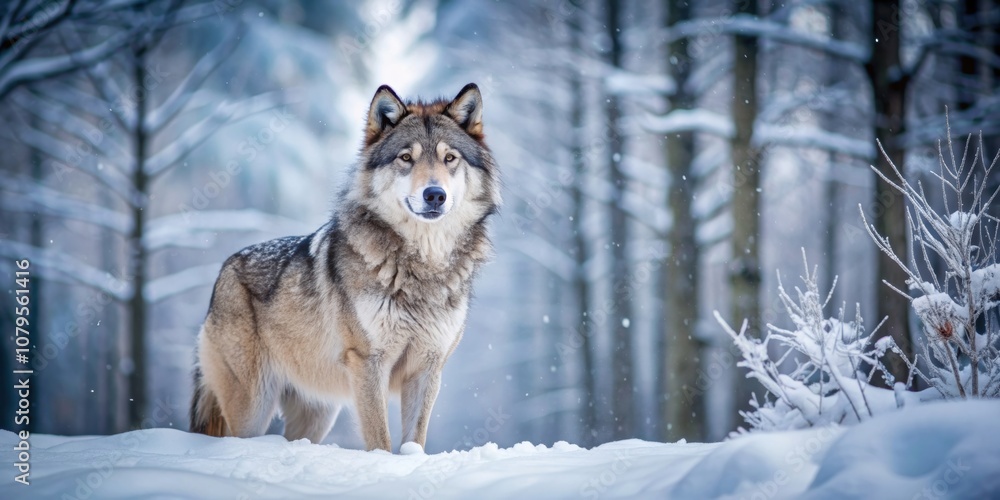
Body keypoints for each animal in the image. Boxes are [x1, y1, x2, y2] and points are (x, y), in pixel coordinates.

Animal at [189, 83, 499, 452]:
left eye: (449, 158)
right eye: (405, 158)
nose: (434, 194)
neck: (421, 266)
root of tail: (225, 268)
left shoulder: (428, 366)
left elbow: (414, 440)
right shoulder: (367, 362)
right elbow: (380, 439)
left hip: (317, 416)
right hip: (253, 408)